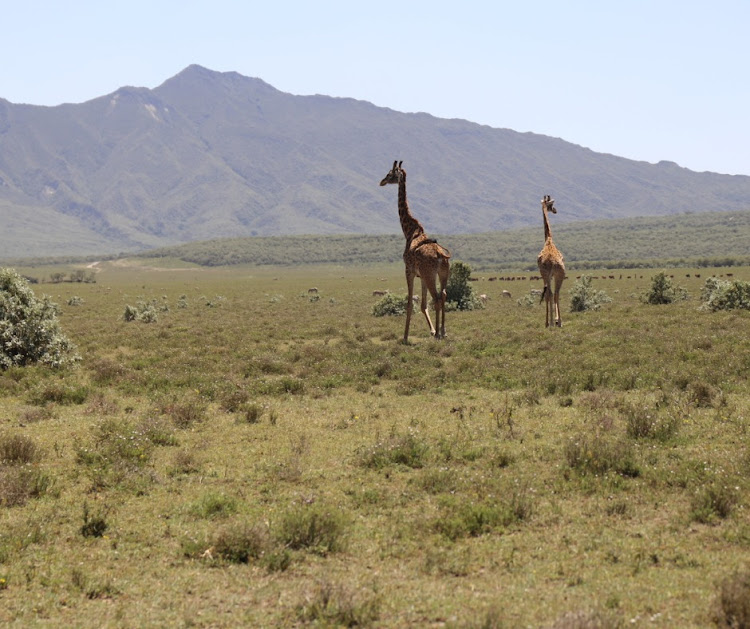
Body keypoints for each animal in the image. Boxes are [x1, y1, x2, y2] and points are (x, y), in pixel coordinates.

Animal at [378, 159, 450, 340]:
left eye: (390, 173)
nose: (382, 181)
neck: (409, 230)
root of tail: (440, 254)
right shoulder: (421, 275)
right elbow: (423, 304)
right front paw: (432, 330)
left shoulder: (409, 270)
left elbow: (410, 303)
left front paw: (405, 336)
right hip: (442, 273)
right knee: (443, 295)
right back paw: (443, 331)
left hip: (431, 274)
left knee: (436, 297)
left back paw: (439, 334)